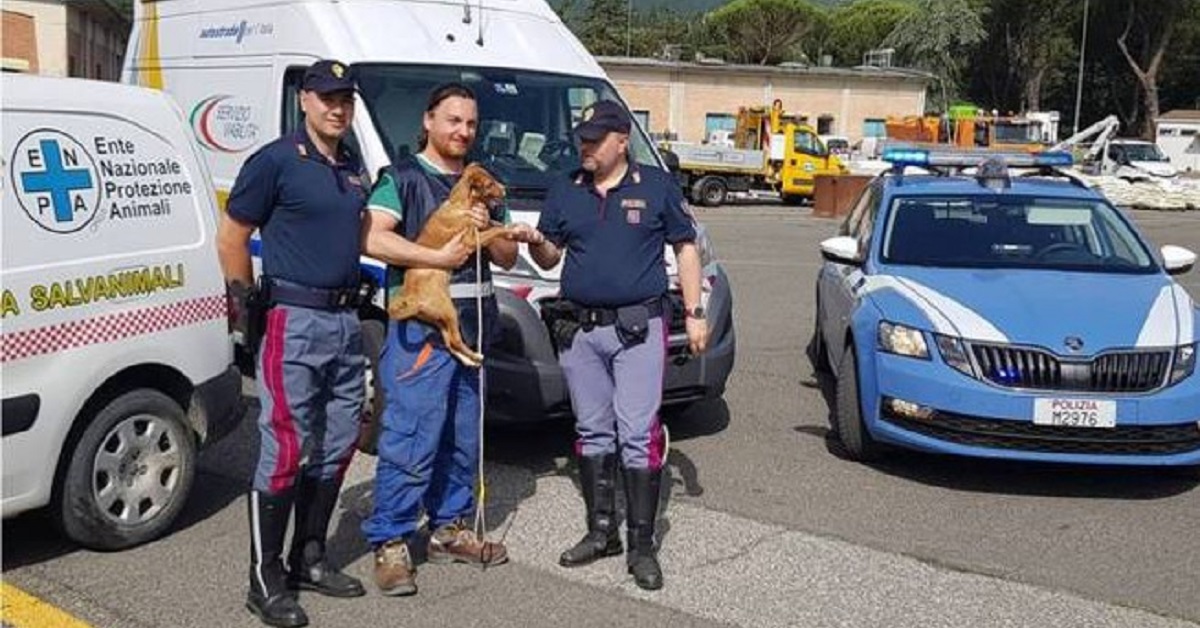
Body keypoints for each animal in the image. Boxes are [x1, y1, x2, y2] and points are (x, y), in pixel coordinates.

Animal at [386, 163, 513, 369]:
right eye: (489, 184)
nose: (505, 189)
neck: (460, 205)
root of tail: (414, 299)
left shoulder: (478, 228)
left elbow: (492, 223)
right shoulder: (471, 240)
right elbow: (495, 230)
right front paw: (511, 229)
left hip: (440, 319)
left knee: (450, 342)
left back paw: (469, 360)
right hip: (449, 311)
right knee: (455, 340)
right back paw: (476, 356)